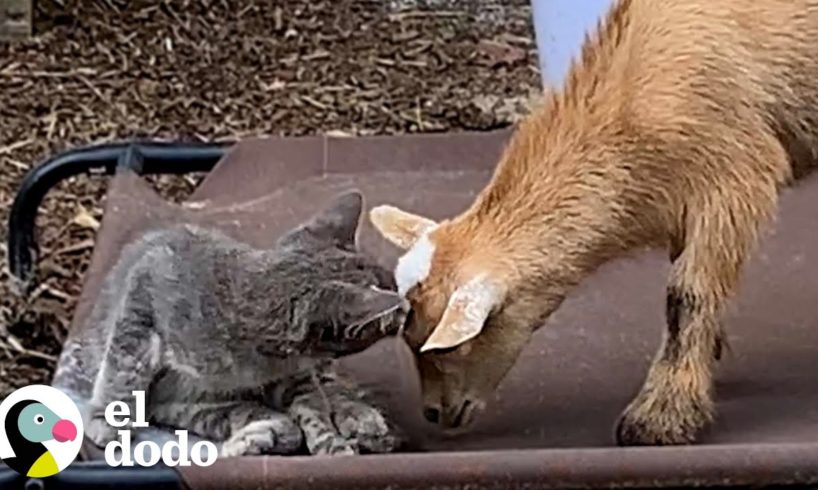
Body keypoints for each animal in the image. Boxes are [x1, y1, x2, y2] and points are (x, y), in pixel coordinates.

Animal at [51, 190, 404, 456]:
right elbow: (124, 367)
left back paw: (358, 416)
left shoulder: (293, 374)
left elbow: (313, 405)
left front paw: (332, 442)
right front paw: (107, 419)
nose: (406, 304)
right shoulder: (146, 289)